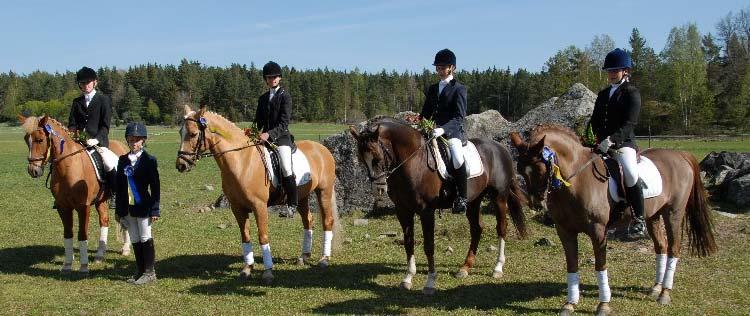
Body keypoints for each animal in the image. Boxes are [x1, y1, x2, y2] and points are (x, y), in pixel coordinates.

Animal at [19, 115, 130, 274]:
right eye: (25, 139)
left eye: (40, 140)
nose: (33, 170)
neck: (68, 166)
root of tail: (122, 146)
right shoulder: (63, 207)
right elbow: (68, 233)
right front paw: (67, 264)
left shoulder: (83, 206)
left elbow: (82, 233)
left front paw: (83, 266)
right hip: (101, 200)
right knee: (104, 220)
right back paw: (99, 255)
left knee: (125, 219)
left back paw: (126, 249)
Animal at [175, 105, 340, 284]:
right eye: (180, 132)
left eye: (193, 134)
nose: (181, 165)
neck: (241, 161)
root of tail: (322, 149)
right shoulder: (237, 208)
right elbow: (245, 237)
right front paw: (247, 269)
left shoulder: (259, 206)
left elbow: (263, 236)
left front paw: (268, 272)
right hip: (302, 196)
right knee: (308, 221)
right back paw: (304, 256)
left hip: (324, 192)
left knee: (327, 221)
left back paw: (324, 259)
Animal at [352, 117, 528, 296]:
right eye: (362, 159)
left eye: (377, 157)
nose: (378, 189)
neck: (413, 161)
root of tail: (500, 147)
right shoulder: (403, 211)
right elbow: (408, 243)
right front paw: (407, 278)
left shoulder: (426, 211)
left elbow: (429, 246)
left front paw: (430, 283)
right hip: (473, 201)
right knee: (477, 229)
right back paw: (465, 268)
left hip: (499, 197)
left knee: (501, 228)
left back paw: (497, 268)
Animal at [512, 124, 716, 314]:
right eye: (520, 170)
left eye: (540, 168)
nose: (536, 204)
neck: (577, 181)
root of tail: (680, 155)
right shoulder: (565, 230)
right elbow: (571, 265)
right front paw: (569, 304)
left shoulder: (598, 230)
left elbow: (600, 265)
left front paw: (603, 305)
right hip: (653, 216)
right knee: (661, 247)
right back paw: (656, 288)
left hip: (673, 213)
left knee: (674, 248)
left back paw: (665, 293)